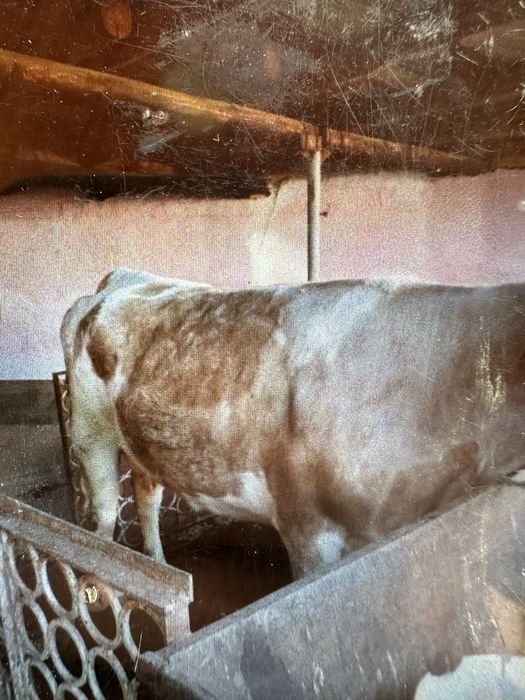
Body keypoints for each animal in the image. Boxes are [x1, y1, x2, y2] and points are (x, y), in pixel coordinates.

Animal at [61, 269, 525, 578]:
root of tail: (120, 277)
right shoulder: (306, 527)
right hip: (90, 436)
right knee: (105, 517)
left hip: (141, 441)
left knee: (146, 496)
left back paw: (158, 562)